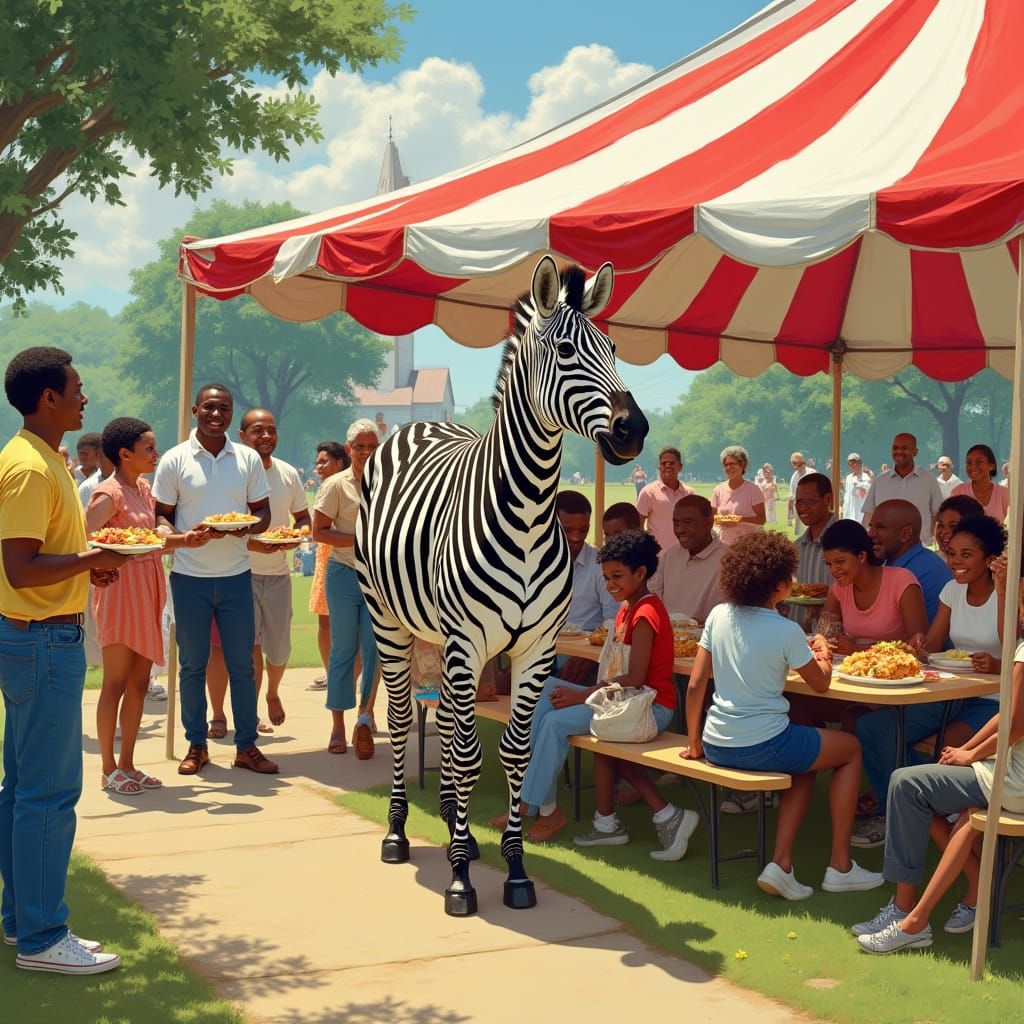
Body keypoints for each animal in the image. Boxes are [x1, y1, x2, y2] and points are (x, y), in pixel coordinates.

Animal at [355, 255, 648, 916]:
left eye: (616, 347)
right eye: (565, 350)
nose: (633, 430)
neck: (529, 511)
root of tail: (419, 425)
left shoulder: (534, 648)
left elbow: (510, 752)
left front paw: (513, 869)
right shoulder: (468, 643)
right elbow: (466, 754)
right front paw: (461, 880)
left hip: (437, 636)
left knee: (446, 725)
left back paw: (453, 825)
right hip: (388, 619)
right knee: (403, 717)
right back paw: (398, 834)